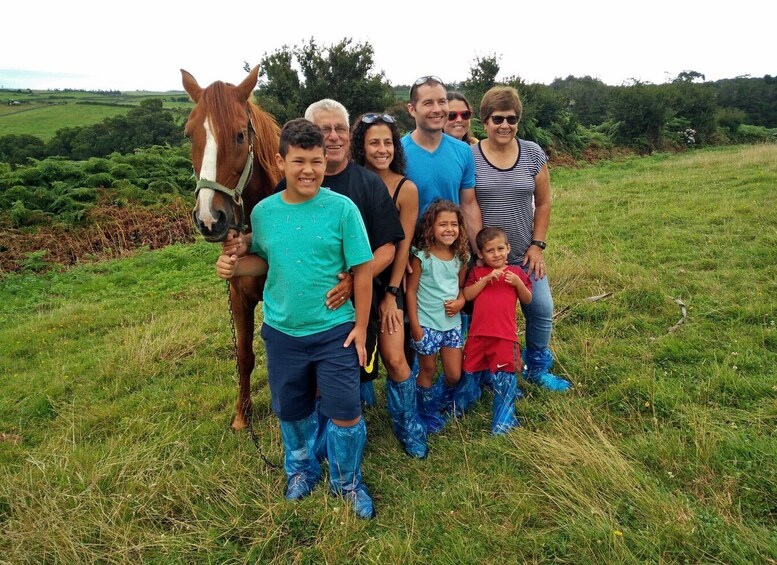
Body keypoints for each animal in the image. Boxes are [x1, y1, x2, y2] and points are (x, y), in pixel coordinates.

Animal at [180, 65, 282, 428]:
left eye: (239, 135)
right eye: (188, 134)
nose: (209, 218)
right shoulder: (239, 296)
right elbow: (244, 355)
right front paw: (241, 415)